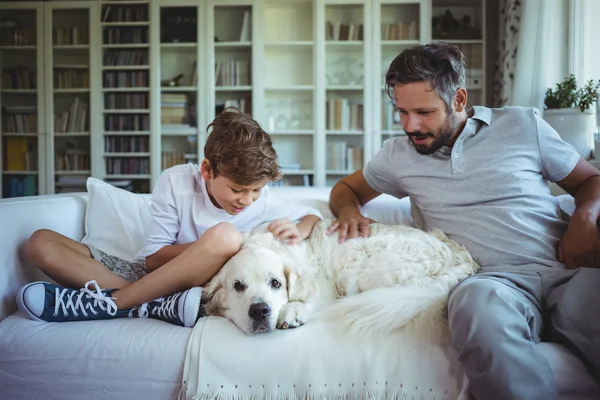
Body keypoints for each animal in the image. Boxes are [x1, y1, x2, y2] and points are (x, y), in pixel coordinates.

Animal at [200, 219, 478, 338]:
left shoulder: (323, 283)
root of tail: (460, 256)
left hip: (355, 259)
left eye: (276, 283)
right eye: (238, 286)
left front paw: (292, 311)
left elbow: (309, 297)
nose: (260, 311)